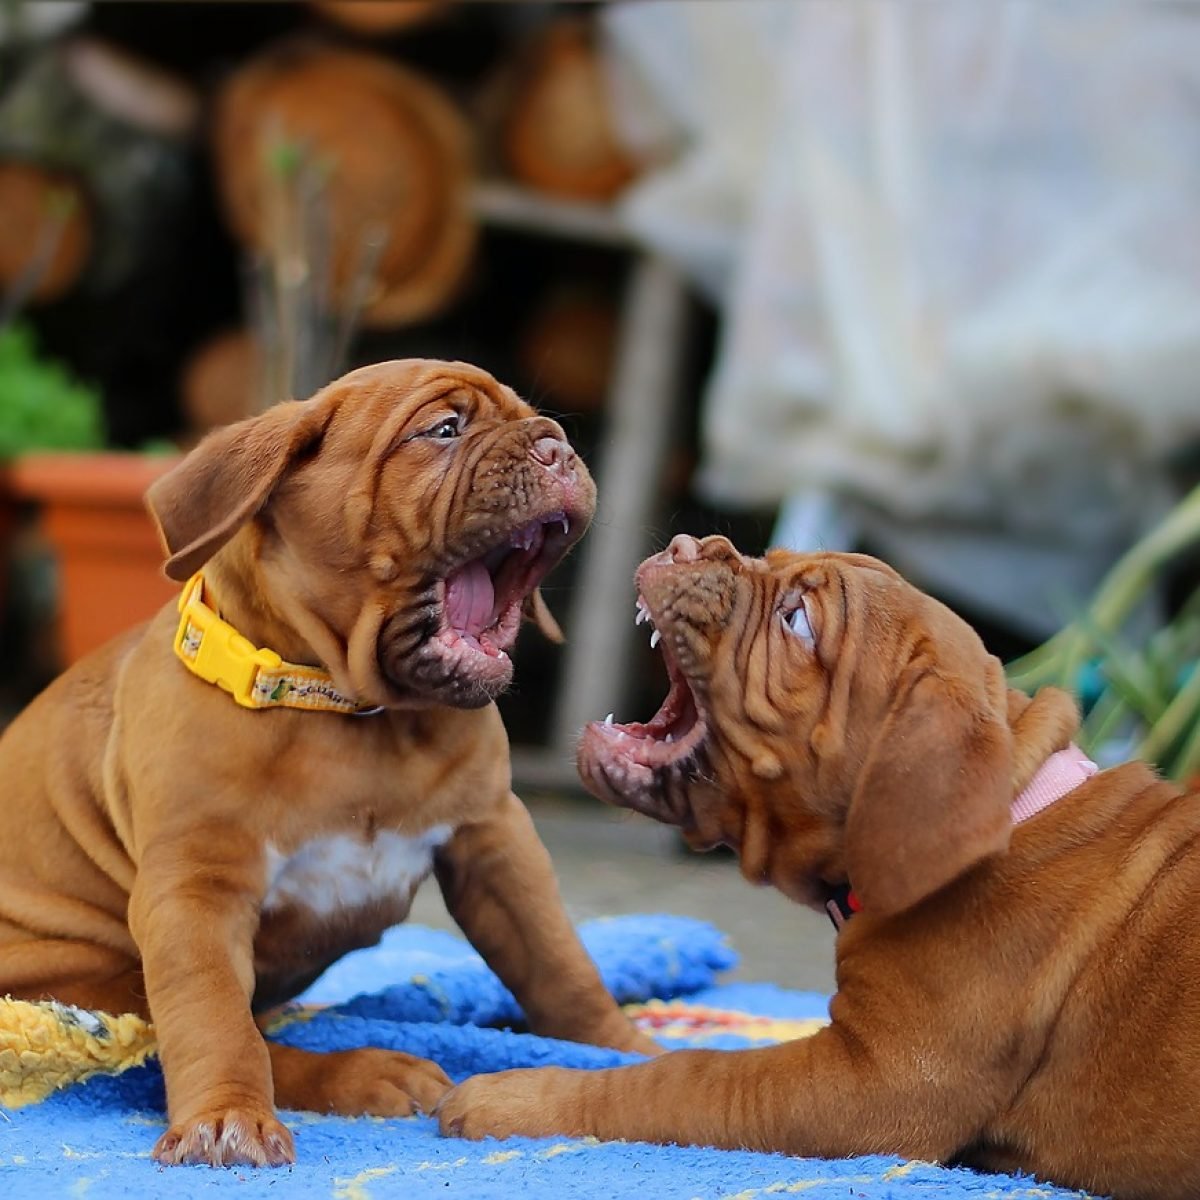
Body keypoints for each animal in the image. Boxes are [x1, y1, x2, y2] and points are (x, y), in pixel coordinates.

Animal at [0, 355, 657, 1161]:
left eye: (540, 423)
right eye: (443, 429)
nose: (557, 447)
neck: (355, 714)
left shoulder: (495, 840)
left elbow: (559, 962)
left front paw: (627, 1049)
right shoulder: (195, 884)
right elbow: (211, 1016)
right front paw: (227, 1117)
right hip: (76, 972)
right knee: (171, 1038)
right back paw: (366, 1071)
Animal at [441, 532, 1200, 1200]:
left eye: (798, 621)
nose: (686, 544)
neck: (1015, 801)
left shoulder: (873, 1088)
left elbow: (683, 1077)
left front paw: (513, 1098)